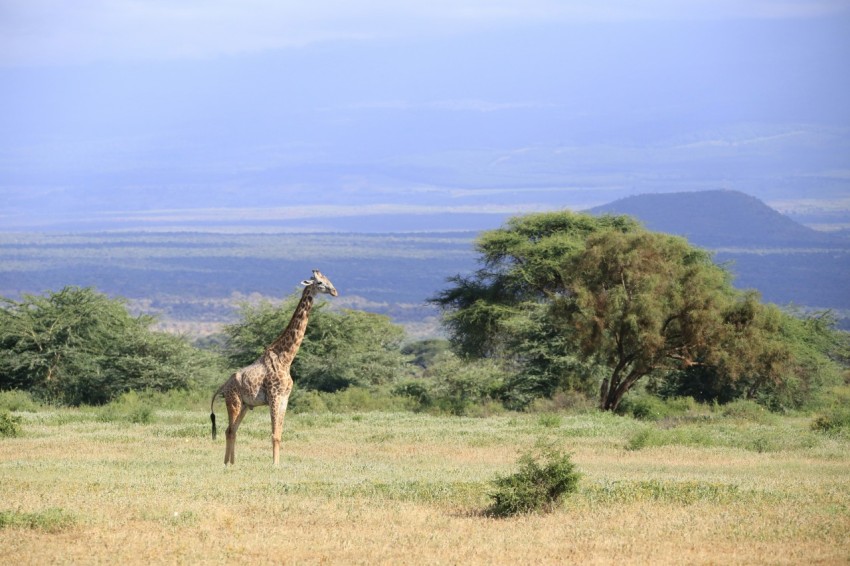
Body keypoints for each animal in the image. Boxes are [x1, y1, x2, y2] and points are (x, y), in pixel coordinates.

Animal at [209, 270, 338, 466]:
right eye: (320, 283)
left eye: (328, 279)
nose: (334, 291)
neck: (286, 358)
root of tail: (223, 386)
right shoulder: (274, 396)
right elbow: (274, 434)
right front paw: (275, 465)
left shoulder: (285, 398)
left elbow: (279, 433)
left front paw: (277, 463)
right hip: (234, 402)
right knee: (230, 430)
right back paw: (227, 464)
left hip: (245, 405)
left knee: (231, 430)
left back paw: (231, 463)